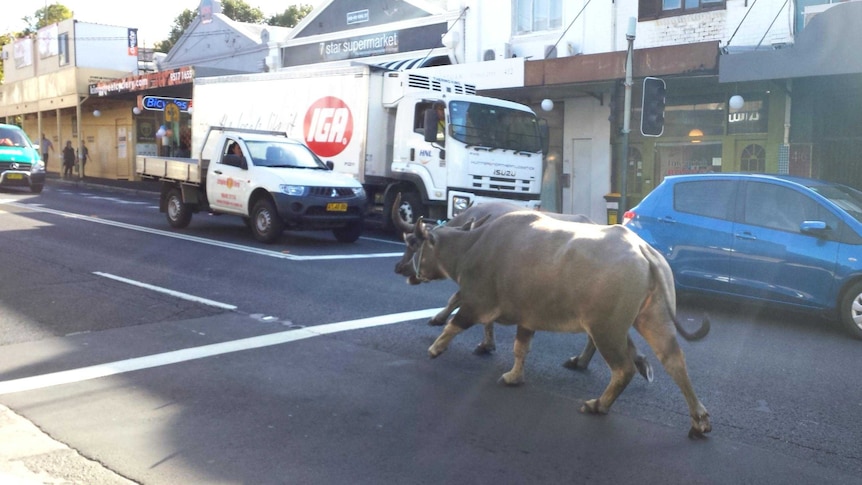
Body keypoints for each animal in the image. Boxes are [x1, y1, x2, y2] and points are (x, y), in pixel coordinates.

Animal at [396, 199, 656, 380]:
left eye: (412, 242)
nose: (400, 268)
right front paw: (486, 344)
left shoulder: (482, 284)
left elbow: (457, 298)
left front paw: (438, 320)